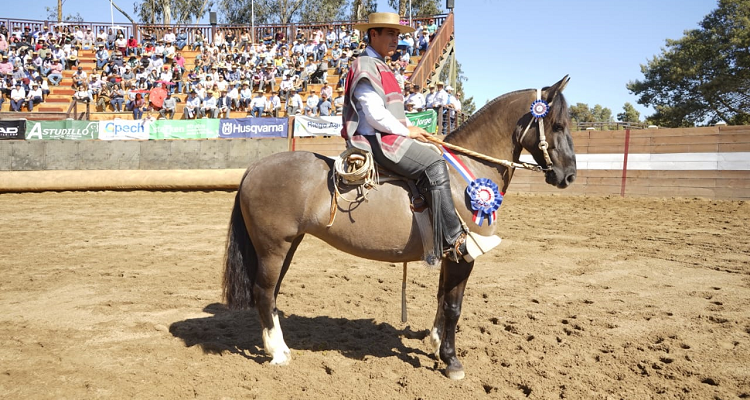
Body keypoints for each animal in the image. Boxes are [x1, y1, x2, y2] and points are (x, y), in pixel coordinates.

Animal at [222, 74, 576, 378]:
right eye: (557, 124)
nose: (569, 175)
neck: (466, 174)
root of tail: (254, 167)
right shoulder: (464, 256)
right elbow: (453, 305)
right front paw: (451, 360)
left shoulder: (451, 253)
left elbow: (441, 297)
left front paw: (436, 342)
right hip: (273, 247)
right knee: (263, 292)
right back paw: (278, 353)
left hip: (287, 245)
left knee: (270, 294)